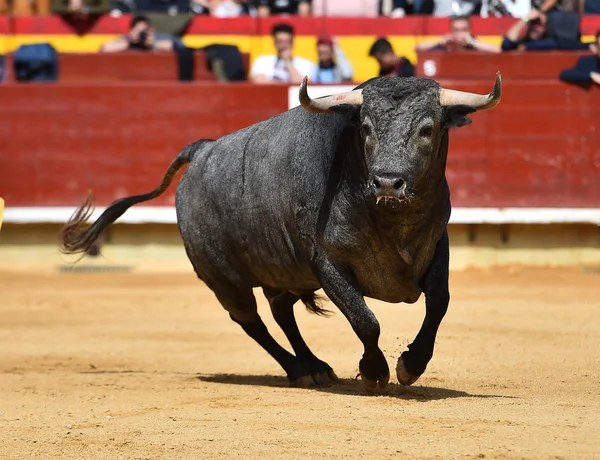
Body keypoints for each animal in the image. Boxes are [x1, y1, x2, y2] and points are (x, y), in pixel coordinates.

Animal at [59, 73, 502, 390]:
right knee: (251, 320)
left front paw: (411, 364)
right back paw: (300, 369)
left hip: (282, 271)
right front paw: (375, 371)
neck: (391, 219)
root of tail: (202, 150)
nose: (389, 183)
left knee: (280, 311)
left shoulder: (437, 245)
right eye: (366, 128)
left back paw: (314, 367)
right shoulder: (326, 263)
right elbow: (365, 319)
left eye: (427, 129)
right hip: (224, 278)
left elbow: (439, 302)